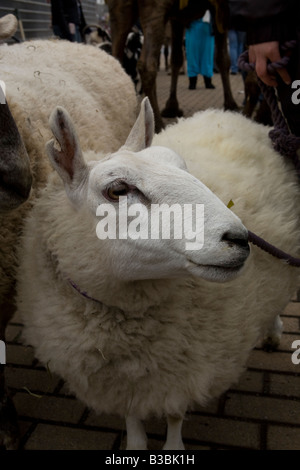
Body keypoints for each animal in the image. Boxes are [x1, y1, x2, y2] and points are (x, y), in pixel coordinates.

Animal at [15, 96, 300, 452]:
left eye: (182, 165)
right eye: (118, 189)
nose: (239, 237)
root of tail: (239, 118)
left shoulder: (181, 369)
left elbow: (175, 415)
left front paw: (172, 448)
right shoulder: (125, 381)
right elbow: (131, 415)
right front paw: (136, 444)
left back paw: (274, 331)